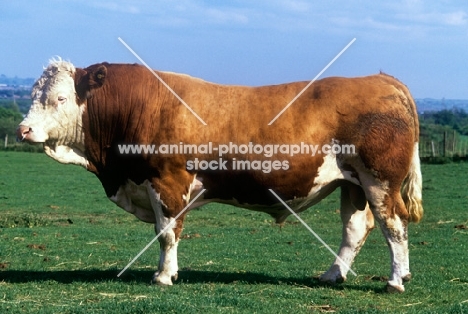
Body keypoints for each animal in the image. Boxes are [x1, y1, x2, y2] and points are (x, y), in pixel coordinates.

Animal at [17, 59, 424, 292]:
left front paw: (164, 276)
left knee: (394, 224)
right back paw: (332, 275)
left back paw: (396, 280)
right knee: (355, 228)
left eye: (59, 99)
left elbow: (167, 232)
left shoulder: (168, 182)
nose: (23, 130)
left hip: (380, 180)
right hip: (351, 184)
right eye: (34, 95)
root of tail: (382, 80)